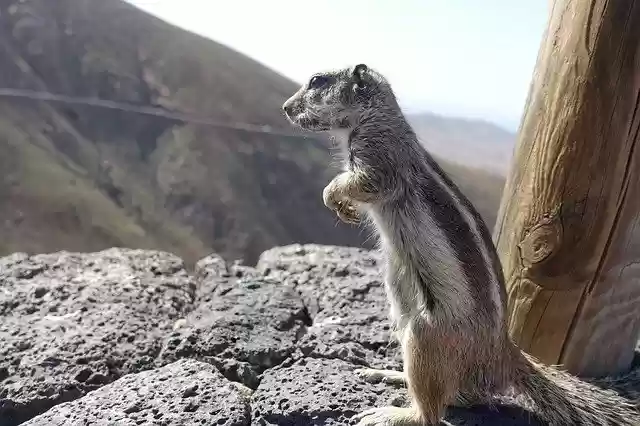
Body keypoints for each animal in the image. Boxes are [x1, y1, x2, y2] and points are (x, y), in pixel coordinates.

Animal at [282, 64, 640, 426]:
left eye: (317, 81)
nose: (285, 108)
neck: (375, 116)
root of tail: (501, 355)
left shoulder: (378, 159)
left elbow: (359, 183)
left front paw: (332, 196)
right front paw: (343, 208)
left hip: (425, 335)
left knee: (430, 413)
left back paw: (393, 412)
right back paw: (391, 374)